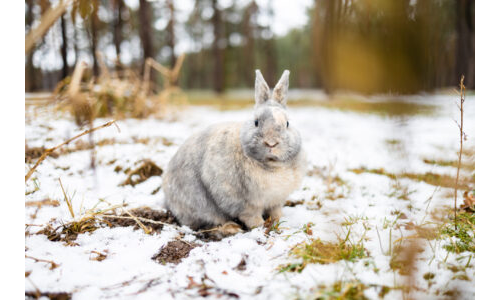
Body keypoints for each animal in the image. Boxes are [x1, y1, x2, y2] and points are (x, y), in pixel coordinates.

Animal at [162, 69, 306, 230]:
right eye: (256, 122)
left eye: (287, 123)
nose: (271, 143)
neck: (271, 165)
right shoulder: (243, 203)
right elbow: (251, 216)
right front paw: (260, 227)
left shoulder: (276, 200)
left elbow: (275, 212)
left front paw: (280, 223)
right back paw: (231, 228)